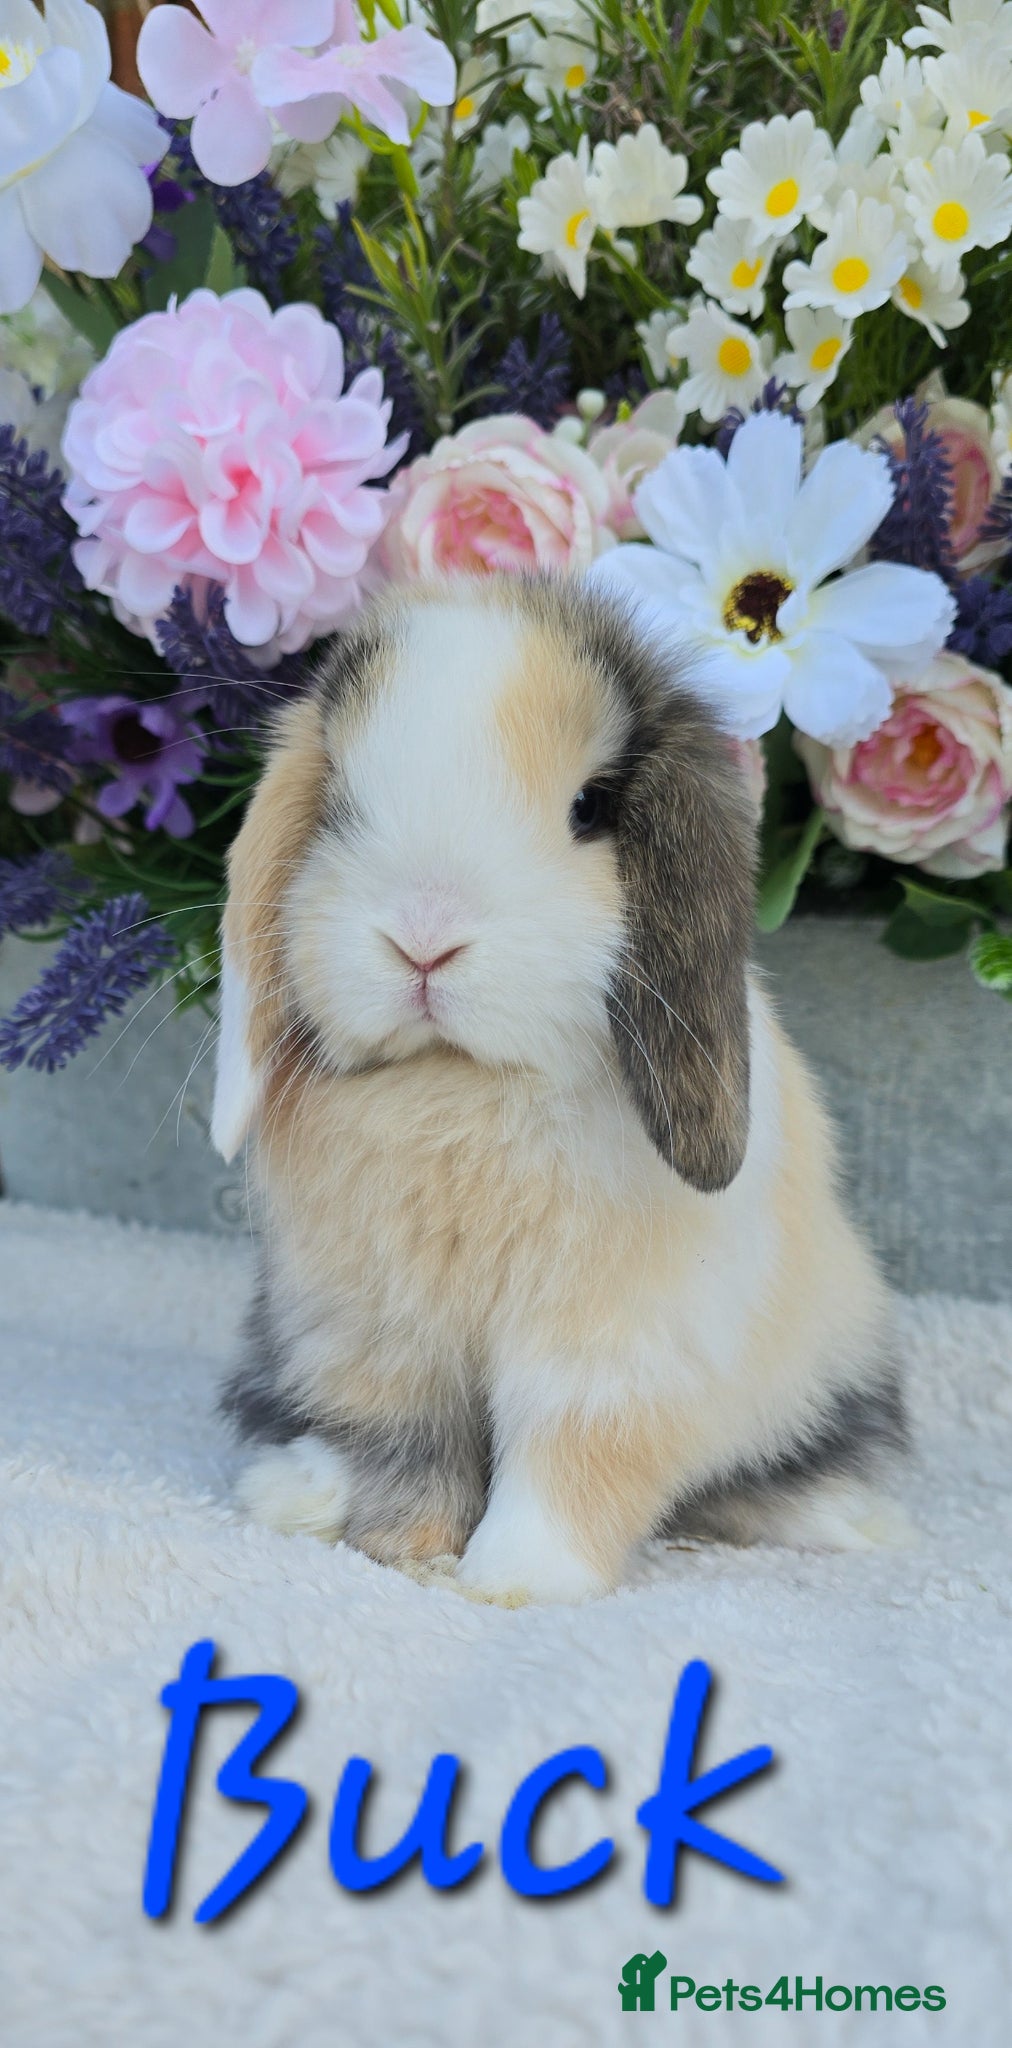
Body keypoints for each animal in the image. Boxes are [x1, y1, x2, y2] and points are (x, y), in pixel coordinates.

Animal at [211, 572, 907, 1606]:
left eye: (589, 808)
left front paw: (512, 1582)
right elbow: (402, 1446)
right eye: (338, 804)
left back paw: (849, 1518)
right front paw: (400, 1550)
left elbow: (568, 1462)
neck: (465, 1088)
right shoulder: (380, 1339)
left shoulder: (608, 1355)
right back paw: (295, 1489)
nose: (424, 940)